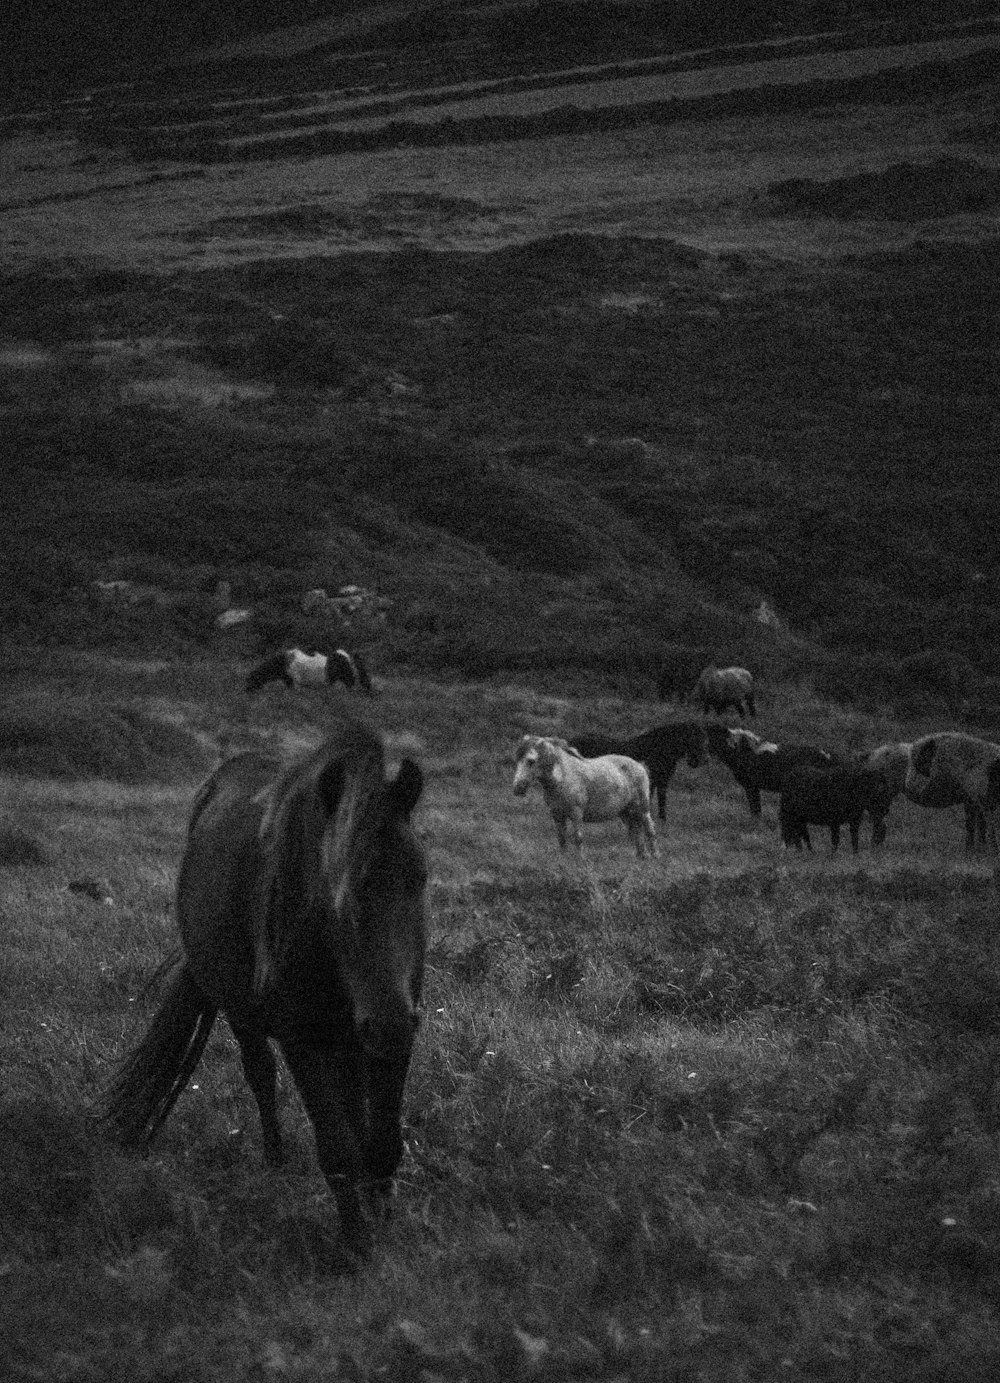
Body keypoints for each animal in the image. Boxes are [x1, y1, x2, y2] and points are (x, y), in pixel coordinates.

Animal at [101, 719, 426, 1261]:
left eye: (420, 877)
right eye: (335, 890)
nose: (388, 1022)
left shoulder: (394, 1038)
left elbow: (380, 1143)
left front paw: (382, 1219)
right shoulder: (304, 1041)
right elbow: (338, 1148)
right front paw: (357, 1247)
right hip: (245, 1014)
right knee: (261, 1076)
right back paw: (274, 1159)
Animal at [511, 735, 661, 851]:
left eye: (531, 761)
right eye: (517, 760)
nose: (517, 788)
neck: (563, 777)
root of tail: (640, 765)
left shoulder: (576, 813)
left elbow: (578, 838)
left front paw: (579, 862)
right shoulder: (557, 815)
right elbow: (562, 839)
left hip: (642, 809)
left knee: (650, 831)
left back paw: (655, 856)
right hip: (626, 813)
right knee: (637, 835)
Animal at [567, 724, 708, 818]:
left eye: (704, 739)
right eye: (695, 739)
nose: (704, 760)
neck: (658, 750)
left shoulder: (662, 781)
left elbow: (661, 801)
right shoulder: (653, 781)